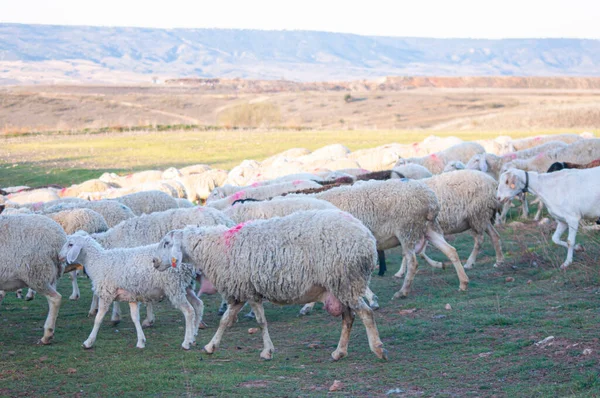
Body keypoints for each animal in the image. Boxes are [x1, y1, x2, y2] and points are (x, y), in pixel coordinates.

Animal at [60, 232, 202, 350]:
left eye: (70, 244)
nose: (59, 256)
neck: (98, 262)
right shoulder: (131, 296)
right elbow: (135, 318)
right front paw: (141, 341)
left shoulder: (106, 294)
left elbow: (98, 319)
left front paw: (88, 342)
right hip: (186, 286)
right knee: (198, 305)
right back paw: (194, 335)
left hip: (174, 287)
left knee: (189, 311)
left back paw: (187, 342)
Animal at [152, 210, 386, 362]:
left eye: (166, 243)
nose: (154, 262)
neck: (214, 248)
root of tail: (367, 238)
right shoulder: (244, 291)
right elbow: (226, 321)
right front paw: (211, 346)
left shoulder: (246, 291)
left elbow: (260, 322)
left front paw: (267, 351)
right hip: (340, 286)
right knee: (349, 318)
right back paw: (339, 352)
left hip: (346, 281)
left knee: (366, 314)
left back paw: (377, 349)